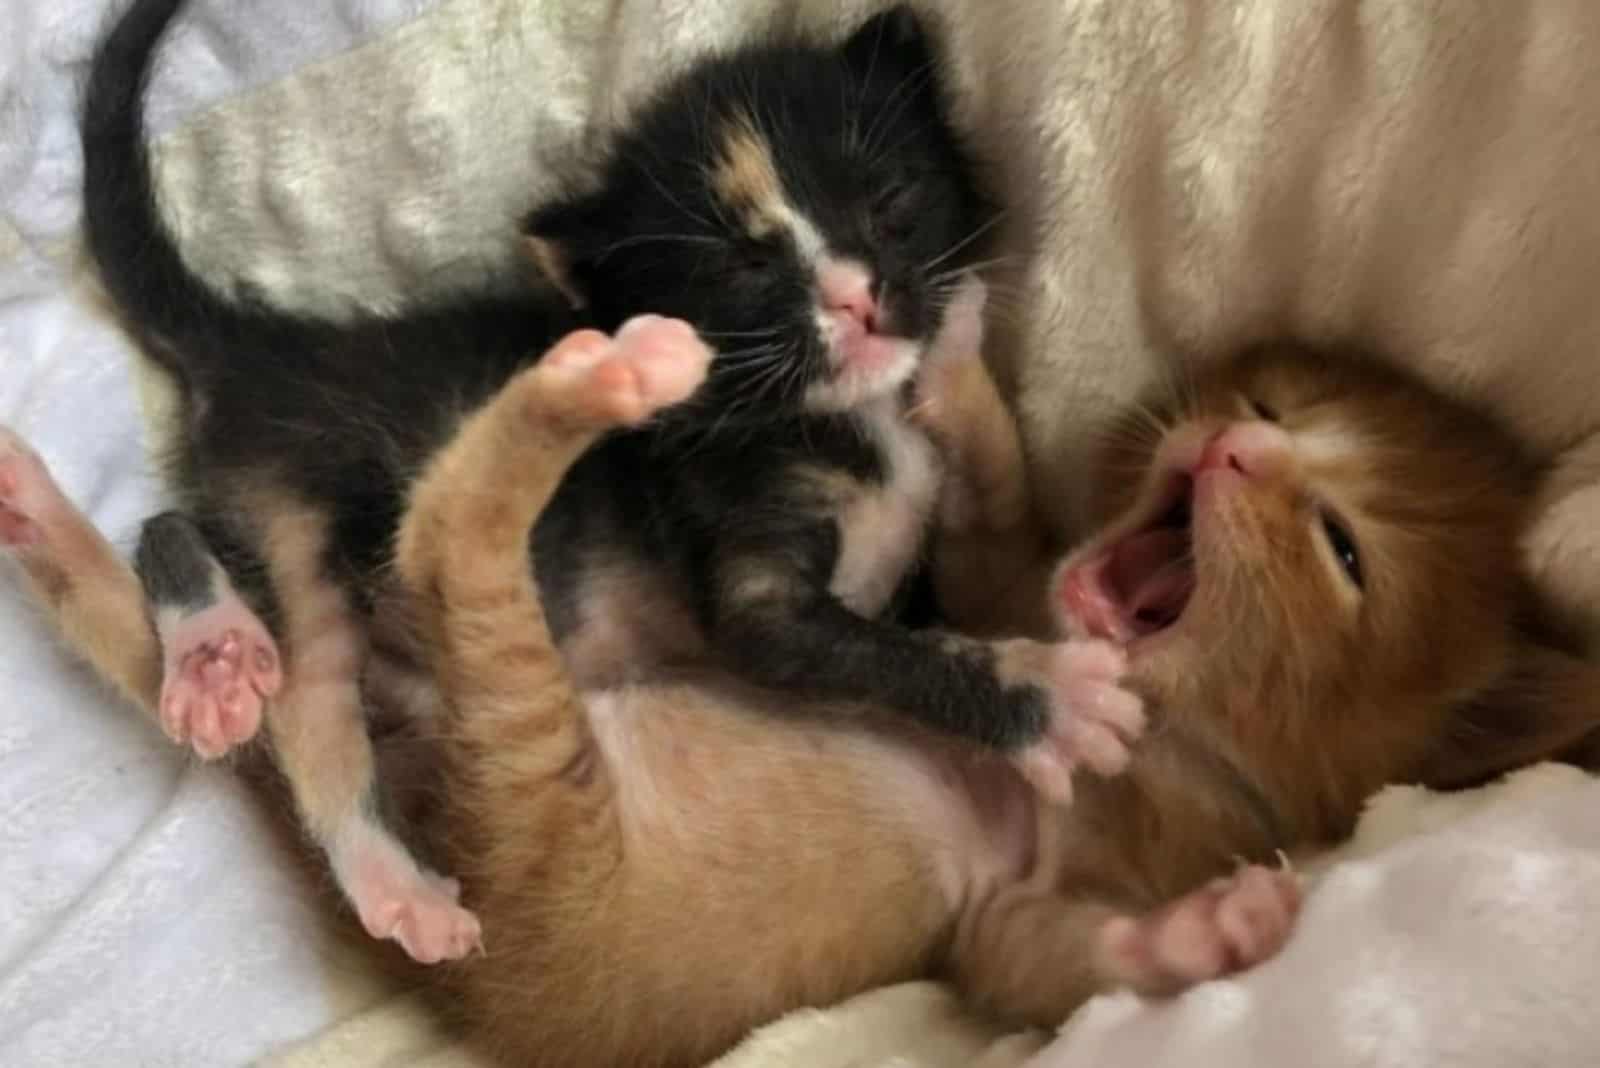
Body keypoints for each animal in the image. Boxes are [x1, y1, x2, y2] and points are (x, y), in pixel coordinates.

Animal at [56, 0, 1126, 965]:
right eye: (742, 269)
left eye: (891, 200)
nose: (858, 301)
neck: (823, 416)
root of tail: (273, 348)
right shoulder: (745, 569)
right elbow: (865, 649)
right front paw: (1046, 697)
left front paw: (954, 340)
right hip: (301, 512)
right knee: (309, 698)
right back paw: (370, 850)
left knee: (173, 523)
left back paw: (218, 652)